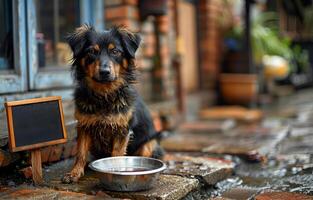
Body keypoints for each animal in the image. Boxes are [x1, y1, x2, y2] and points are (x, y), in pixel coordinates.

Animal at [61, 24, 163, 184]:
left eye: (115, 51)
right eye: (91, 51)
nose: (104, 72)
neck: (104, 95)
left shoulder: (122, 130)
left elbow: (116, 155)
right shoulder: (84, 126)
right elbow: (81, 153)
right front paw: (74, 173)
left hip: (150, 143)